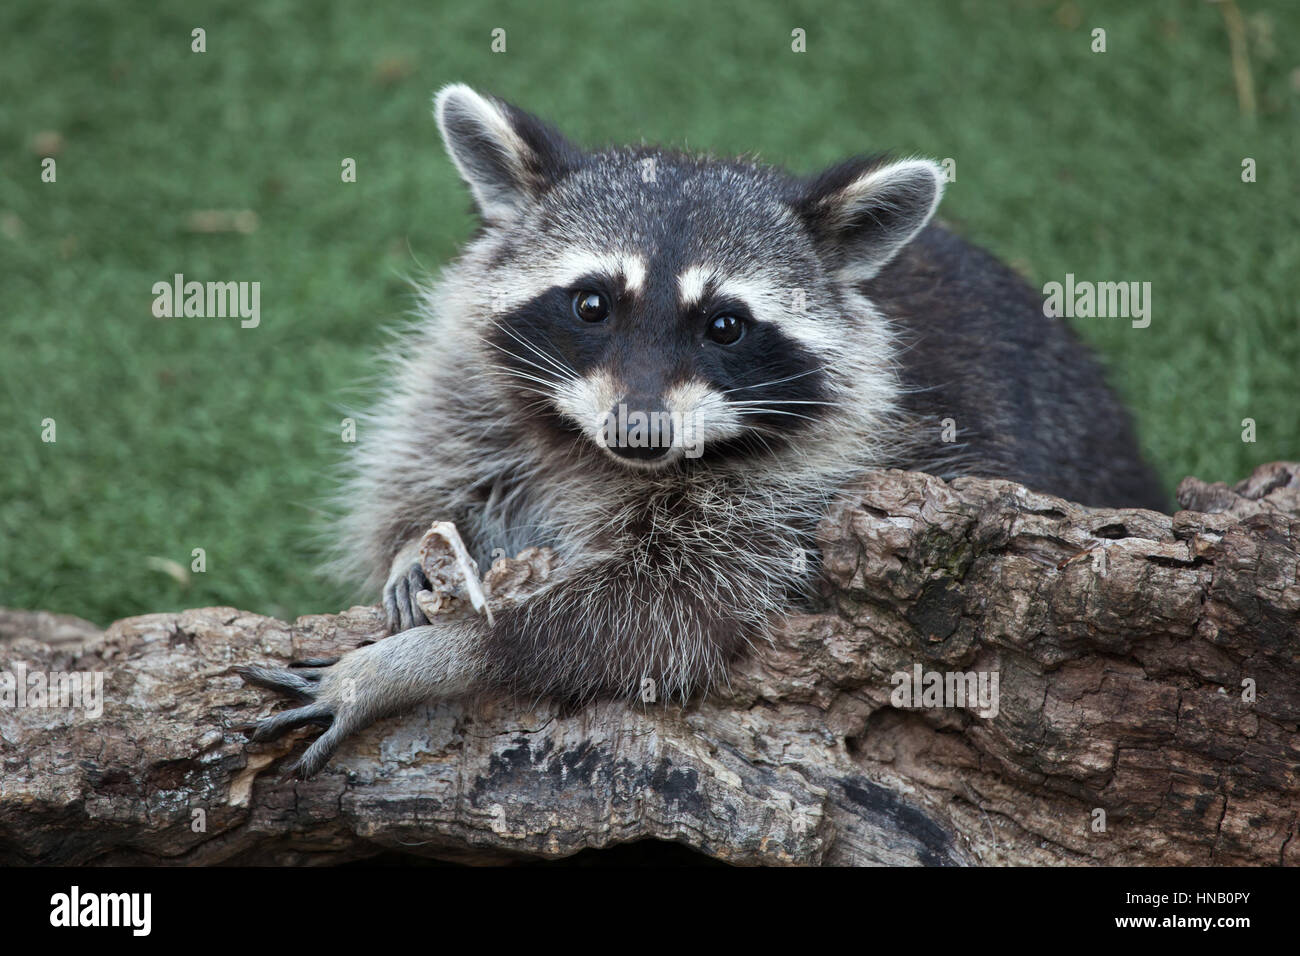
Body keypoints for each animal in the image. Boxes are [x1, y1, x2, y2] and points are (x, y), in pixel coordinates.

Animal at [239, 84, 1165, 776]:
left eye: (725, 326)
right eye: (591, 303)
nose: (642, 430)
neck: (596, 455)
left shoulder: (806, 494)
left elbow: (643, 621)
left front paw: (432, 658)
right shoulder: (471, 379)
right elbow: (425, 456)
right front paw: (418, 542)